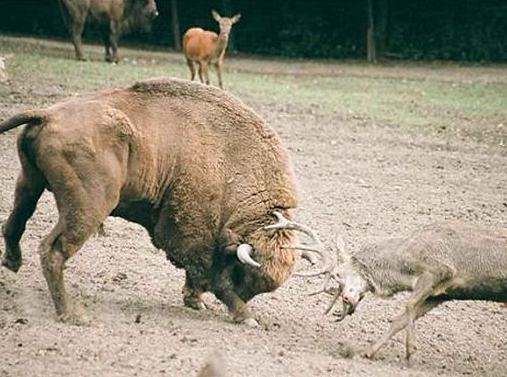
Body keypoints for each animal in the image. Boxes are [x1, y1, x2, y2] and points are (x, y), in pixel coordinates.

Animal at [0, 77, 302, 326]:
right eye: (244, 274)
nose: (245, 299)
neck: (233, 164)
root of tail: (49, 115)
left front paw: (197, 302)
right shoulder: (193, 233)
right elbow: (209, 274)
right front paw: (244, 316)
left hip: (30, 182)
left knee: (15, 222)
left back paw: (13, 263)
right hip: (87, 208)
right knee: (53, 250)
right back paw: (72, 314)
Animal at [268, 210, 507, 362]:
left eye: (339, 275)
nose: (346, 298)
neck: (406, 267)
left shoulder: (439, 270)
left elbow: (409, 305)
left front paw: (411, 351)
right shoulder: (442, 293)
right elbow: (400, 319)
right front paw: (367, 351)